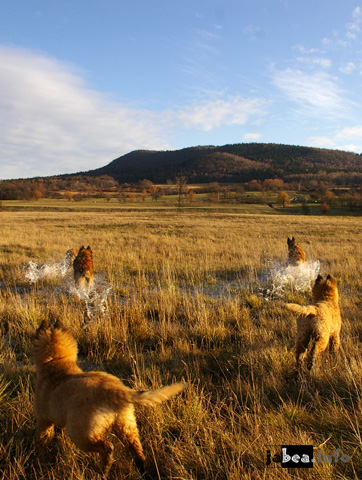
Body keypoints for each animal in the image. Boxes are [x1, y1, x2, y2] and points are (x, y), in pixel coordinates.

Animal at [32, 318, 185, 476]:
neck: (57, 360)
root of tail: (114, 389)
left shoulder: (43, 419)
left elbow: (41, 438)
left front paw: (38, 454)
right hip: (126, 425)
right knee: (137, 453)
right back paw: (140, 471)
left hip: (81, 432)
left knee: (107, 447)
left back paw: (103, 470)